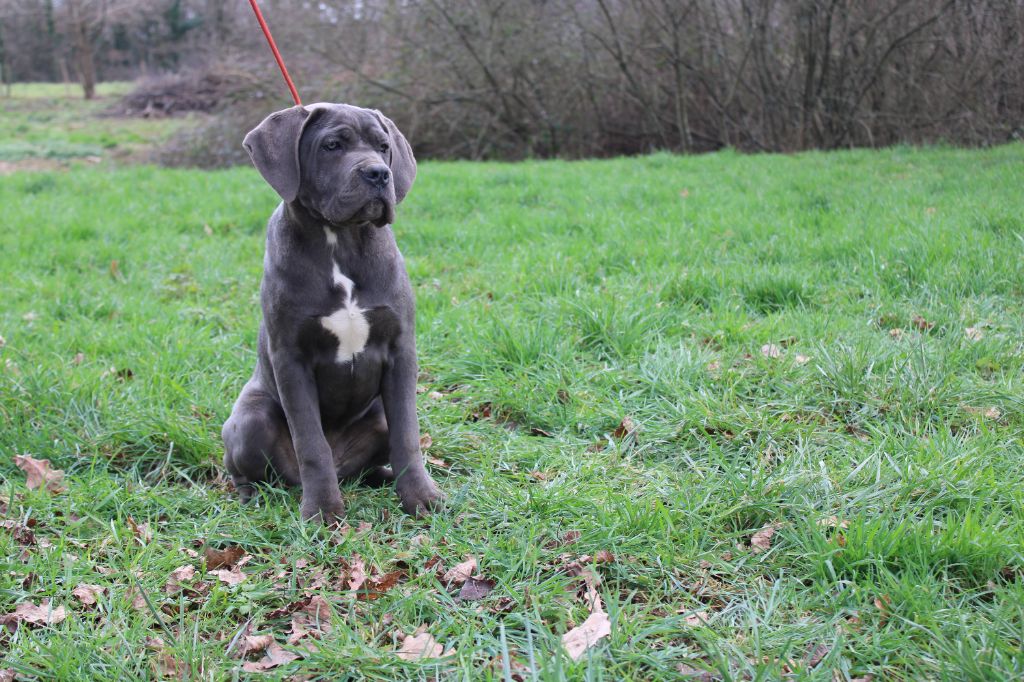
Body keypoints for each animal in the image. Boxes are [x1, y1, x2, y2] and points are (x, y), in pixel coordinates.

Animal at [220, 103, 444, 522]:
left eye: (383, 146)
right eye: (332, 145)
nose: (378, 173)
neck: (340, 240)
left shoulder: (400, 349)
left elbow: (407, 434)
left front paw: (421, 498)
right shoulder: (291, 358)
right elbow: (311, 442)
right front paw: (322, 511)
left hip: (378, 415)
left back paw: (381, 477)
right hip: (250, 419)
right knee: (252, 469)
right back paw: (251, 496)